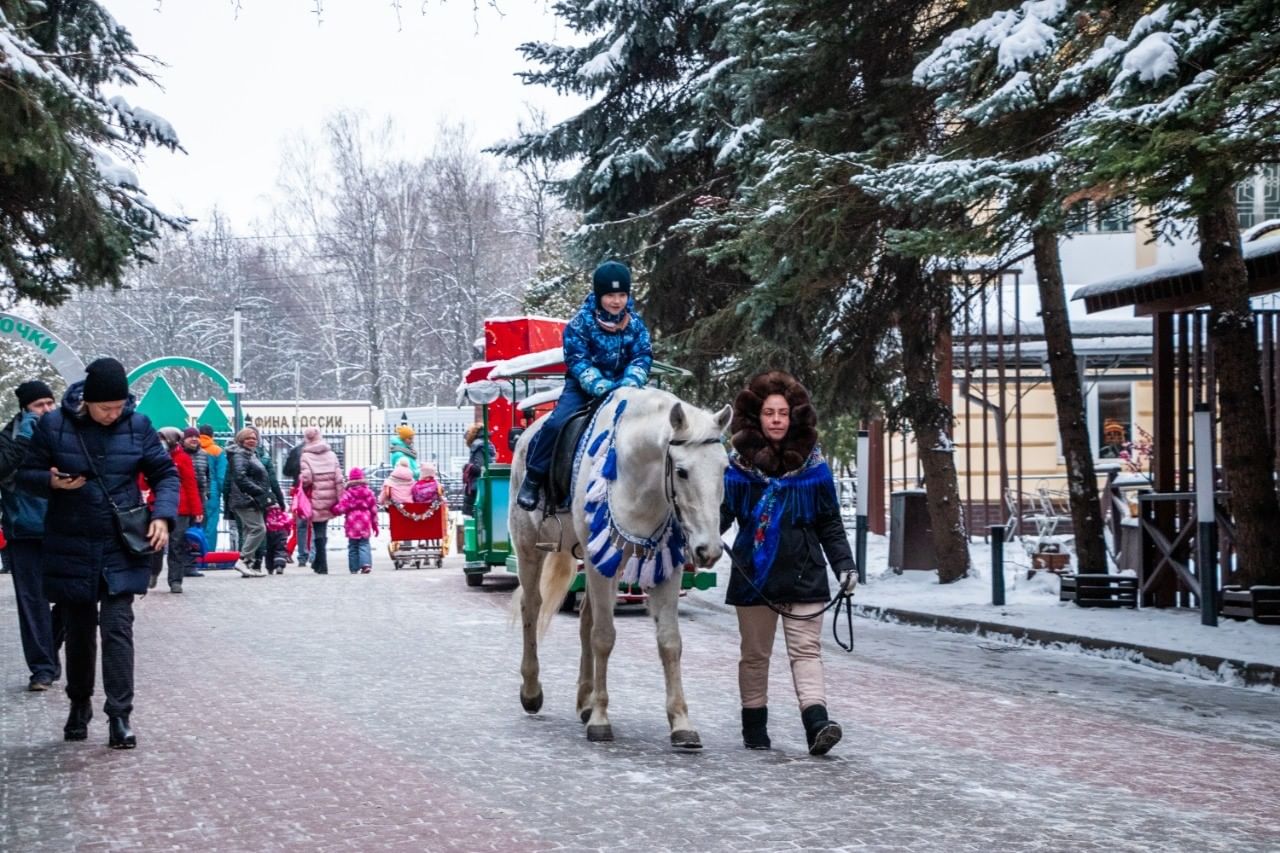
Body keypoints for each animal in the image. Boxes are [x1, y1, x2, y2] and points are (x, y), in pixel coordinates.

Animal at [509, 384, 732, 742]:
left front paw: (681, 722)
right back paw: (532, 692)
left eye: (724, 468)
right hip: (530, 548)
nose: (708, 550)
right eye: (681, 471)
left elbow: (670, 642)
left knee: (585, 618)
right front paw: (601, 720)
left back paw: (584, 701)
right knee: (532, 607)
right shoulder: (603, 566)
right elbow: (604, 637)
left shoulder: (666, 569)